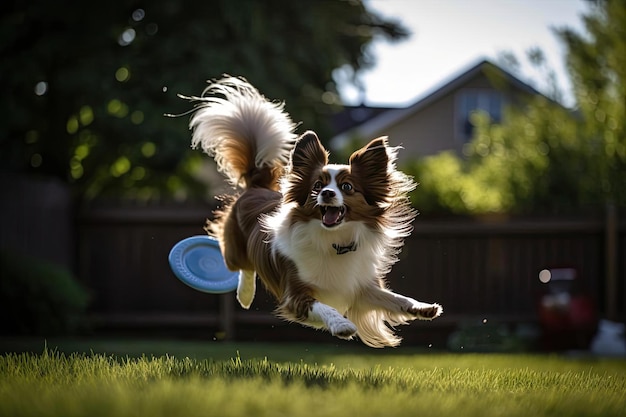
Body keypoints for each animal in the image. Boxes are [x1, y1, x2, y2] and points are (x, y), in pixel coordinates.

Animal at [188, 76, 442, 346]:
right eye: (317, 186)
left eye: (347, 187)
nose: (327, 194)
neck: (334, 240)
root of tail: (257, 185)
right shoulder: (296, 294)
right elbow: (323, 307)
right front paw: (341, 324)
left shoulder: (361, 288)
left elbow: (394, 298)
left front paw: (423, 307)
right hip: (235, 248)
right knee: (241, 265)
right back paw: (245, 295)